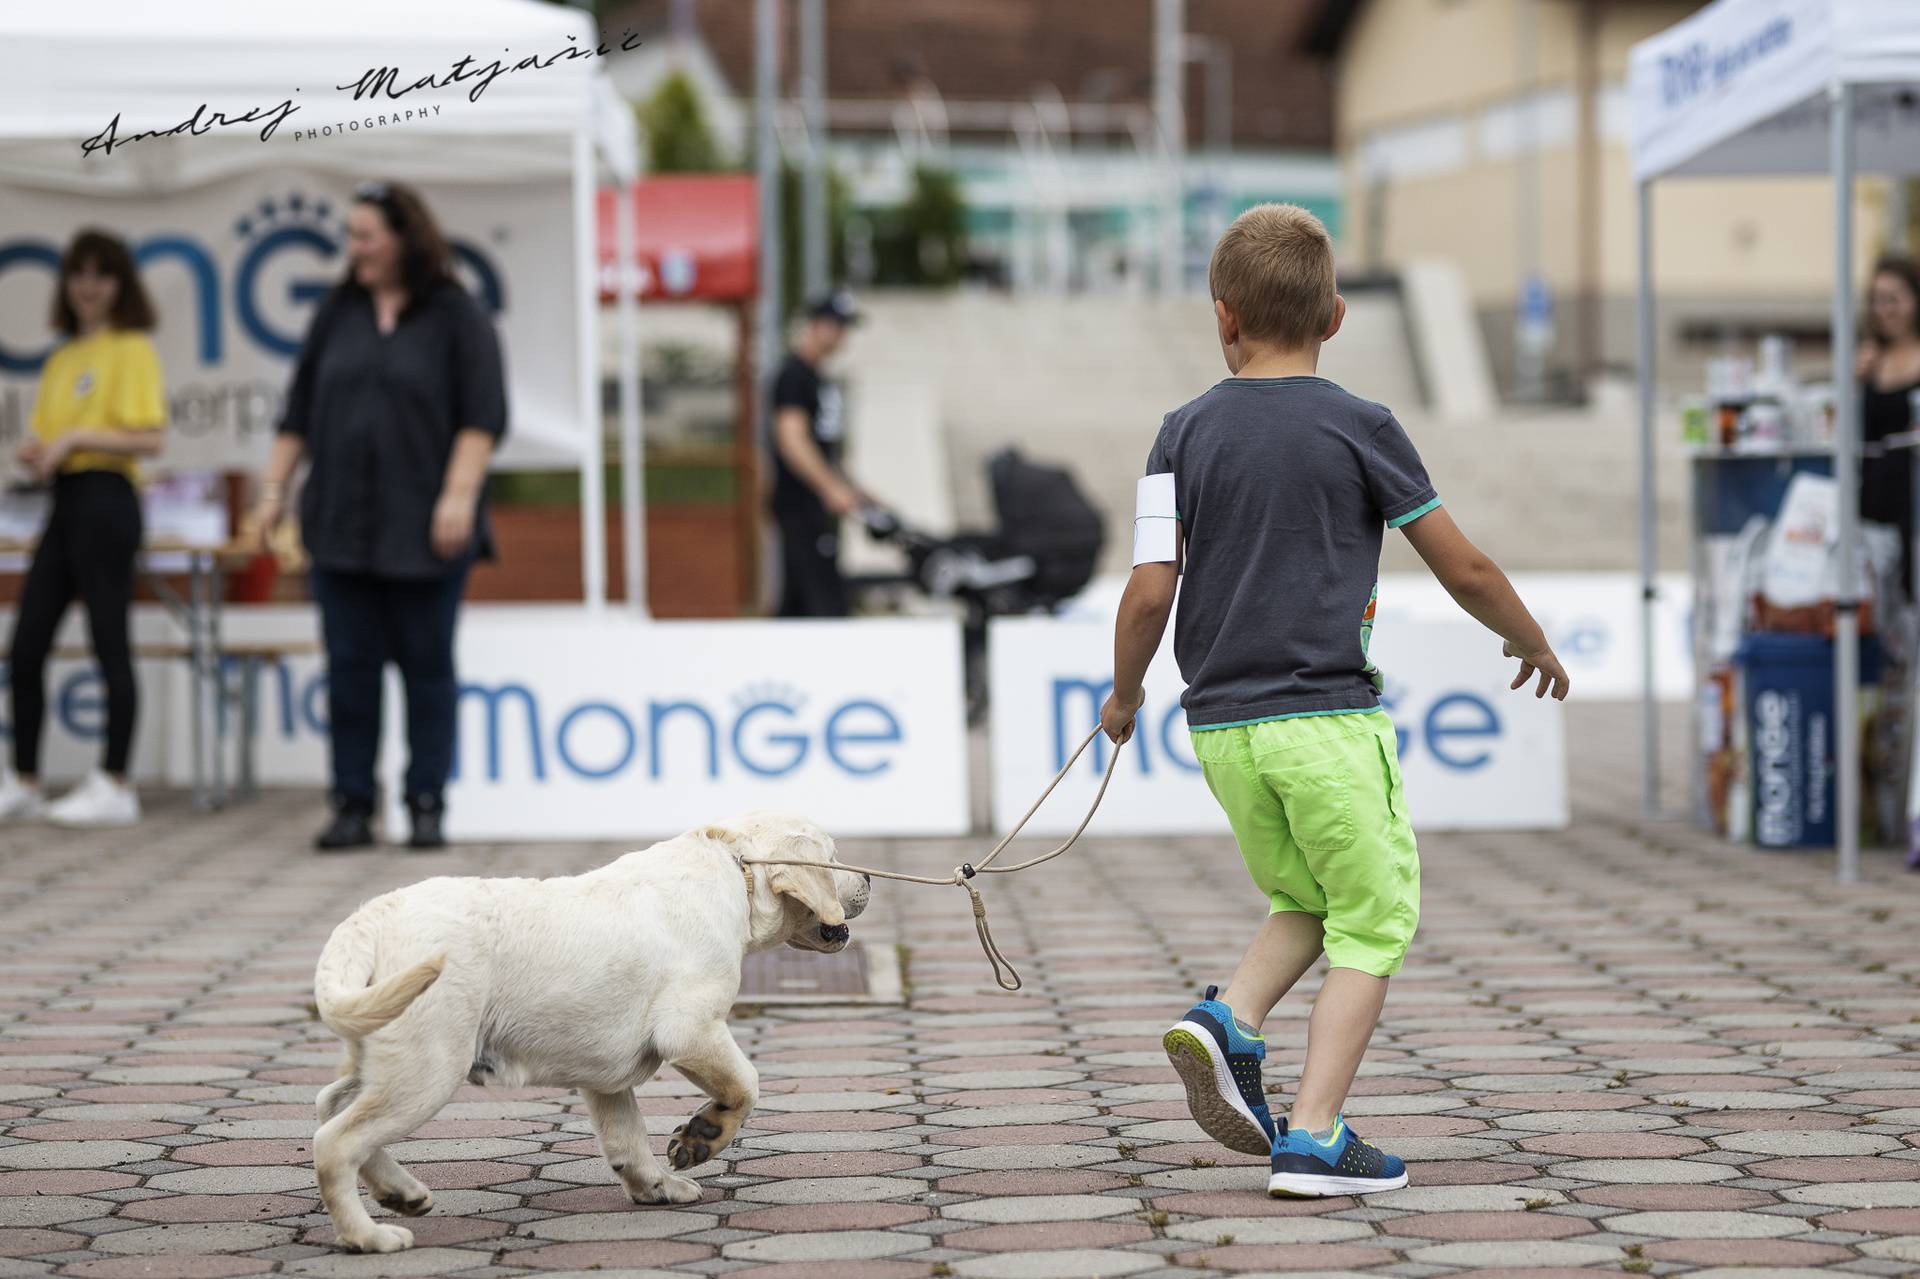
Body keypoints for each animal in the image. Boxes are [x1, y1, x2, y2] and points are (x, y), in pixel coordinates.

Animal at [309, 810, 871, 1252]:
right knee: (335, 1143)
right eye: (835, 857)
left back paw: (400, 1193)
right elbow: (746, 1085)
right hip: (429, 1064)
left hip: (386, 1053)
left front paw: (656, 1186)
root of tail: (366, 921)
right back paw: (367, 1236)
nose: (868, 875)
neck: (736, 868)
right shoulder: (690, 1029)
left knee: (331, 1107)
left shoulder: (605, 1076)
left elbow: (626, 1139)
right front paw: (702, 1136)